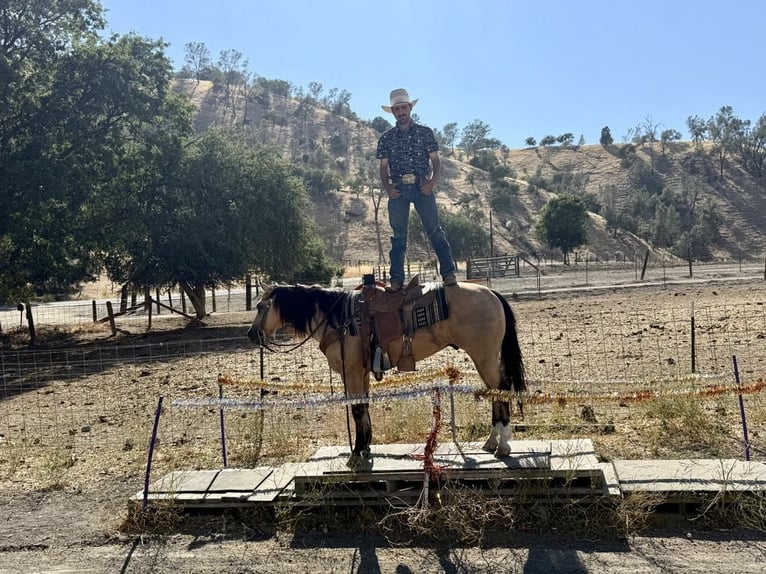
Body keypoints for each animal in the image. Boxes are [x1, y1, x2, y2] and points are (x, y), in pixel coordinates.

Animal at [247, 280, 526, 465]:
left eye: (261, 306)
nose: (251, 334)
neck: (337, 317)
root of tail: (491, 293)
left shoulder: (350, 371)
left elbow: (356, 409)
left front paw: (356, 452)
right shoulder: (360, 372)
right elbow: (364, 407)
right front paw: (366, 447)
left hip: (484, 356)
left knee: (501, 390)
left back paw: (503, 445)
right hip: (483, 358)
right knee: (494, 391)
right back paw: (491, 442)